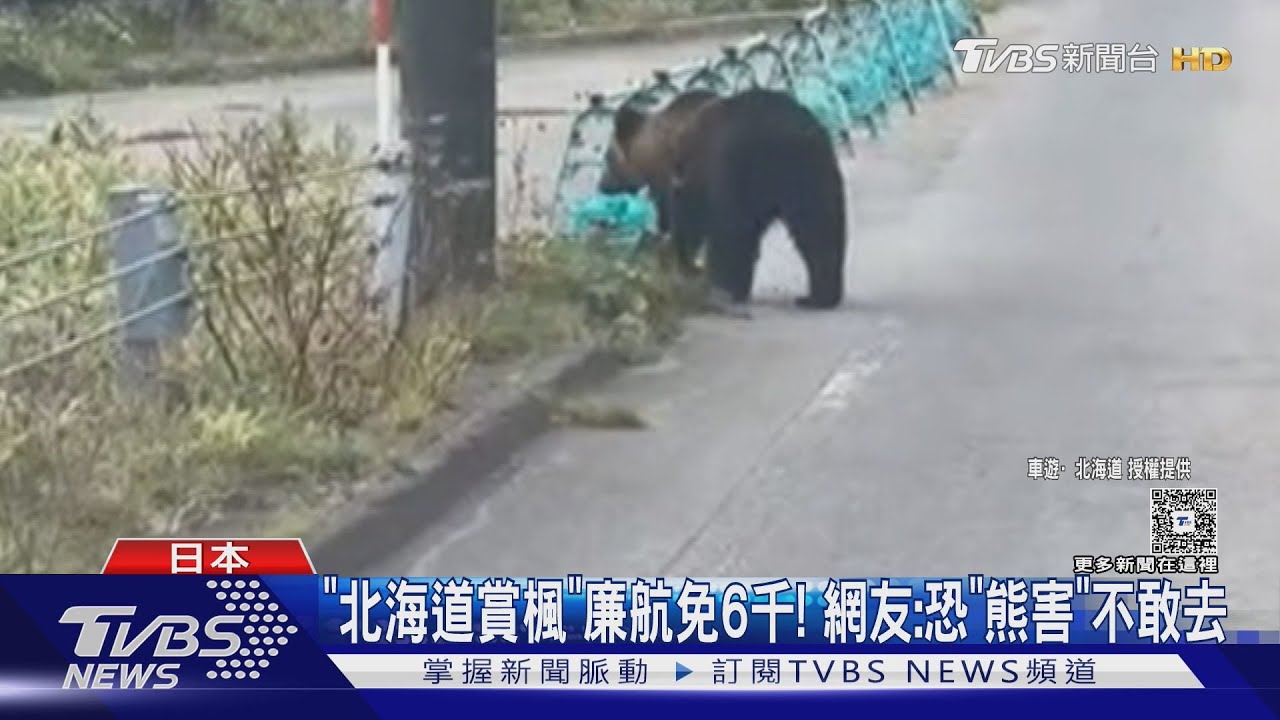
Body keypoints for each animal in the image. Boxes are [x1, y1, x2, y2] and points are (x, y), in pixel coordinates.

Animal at [667, 88, 847, 314]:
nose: (684, 263)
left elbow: (730, 230)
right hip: (815, 171)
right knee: (820, 227)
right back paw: (819, 297)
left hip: (760, 168)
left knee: (735, 232)